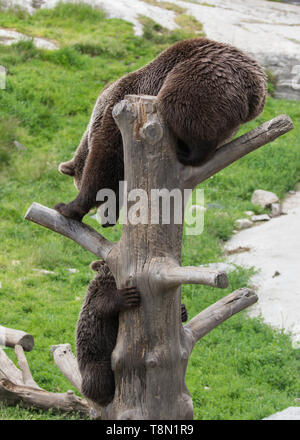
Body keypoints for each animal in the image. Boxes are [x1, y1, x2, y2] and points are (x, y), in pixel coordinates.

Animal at [55, 37, 266, 223]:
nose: (107, 220)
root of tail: (257, 84)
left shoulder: (113, 120)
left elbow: (103, 162)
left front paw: (67, 207)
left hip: (199, 78)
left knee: (177, 106)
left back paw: (188, 153)